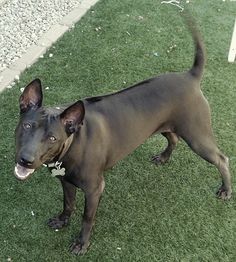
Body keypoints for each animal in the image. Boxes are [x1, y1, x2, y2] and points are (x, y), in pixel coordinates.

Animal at [13, 15, 231, 254]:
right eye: (27, 126)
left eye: (52, 138)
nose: (25, 160)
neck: (73, 143)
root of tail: (190, 76)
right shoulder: (66, 181)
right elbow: (68, 203)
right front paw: (62, 220)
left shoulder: (95, 189)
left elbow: (87, 217)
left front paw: (82, 243)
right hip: (165, 126)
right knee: (173, 138)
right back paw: (163, 157)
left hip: (197, 136)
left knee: (222, 158)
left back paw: (225, 190)